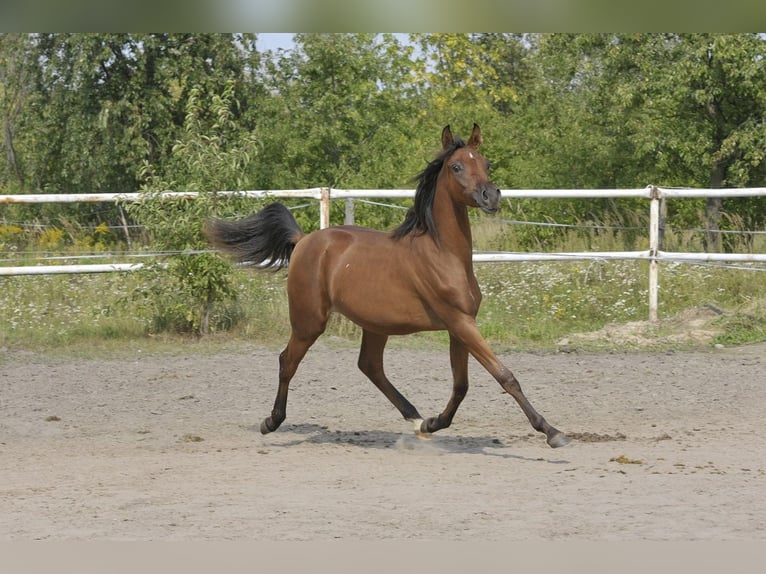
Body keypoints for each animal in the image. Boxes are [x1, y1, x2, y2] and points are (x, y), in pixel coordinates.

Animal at [205, 124, 570, 448]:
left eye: (486, 163)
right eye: (456, 166)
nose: (490, 196)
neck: (442, 253)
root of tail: (305, 240)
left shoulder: (459, 327)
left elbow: (461, 386)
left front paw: (433, 423)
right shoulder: (460, 323)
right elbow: (504, 375)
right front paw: (552, 432)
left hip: (375, 324)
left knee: (369, 366)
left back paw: (416, 419)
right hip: (310, 321)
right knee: (287, 361)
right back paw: (271, 422)